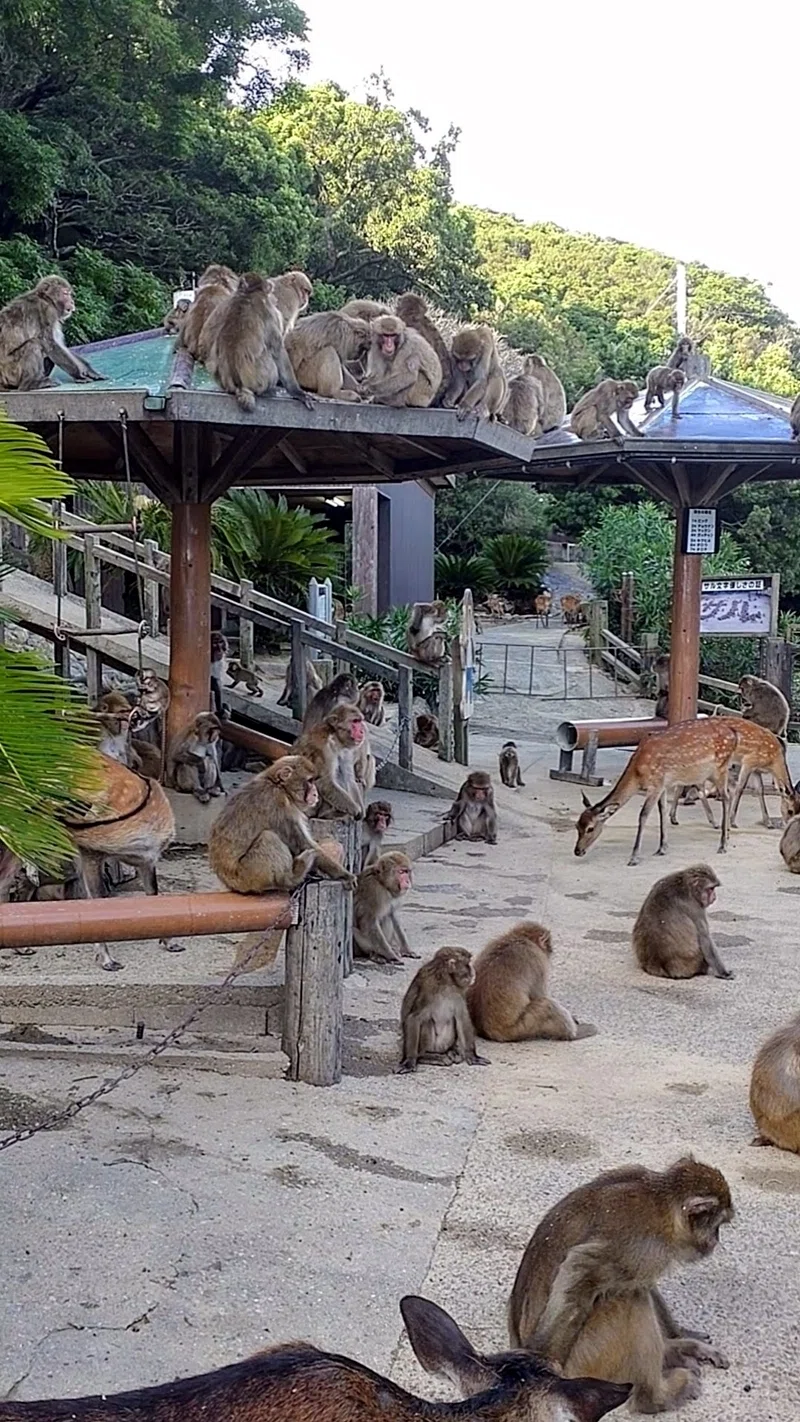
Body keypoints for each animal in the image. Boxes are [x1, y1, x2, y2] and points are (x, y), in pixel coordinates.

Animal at [204, 272, 313, 413]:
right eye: (304, 291)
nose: (306, 299)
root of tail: (239, 385)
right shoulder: (281, 304)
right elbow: (278, 349)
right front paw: (296, 391)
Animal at [209, 755, 356, 893]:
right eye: (310, 781)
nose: (315, 794)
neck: (279, 787)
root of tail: (229, 883)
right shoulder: (280, 806)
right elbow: (303, 845)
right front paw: (345, 875)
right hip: (248, 875)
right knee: (268, 837)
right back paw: (291, 878)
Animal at [467, 922, 596, 1042]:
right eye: (548, 943)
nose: (551, 949)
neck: (520, 938)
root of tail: (487, 1032)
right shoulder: (538, 961)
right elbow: (539, 995)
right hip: (521, 1028)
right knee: (547, 1006)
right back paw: (572, 1034)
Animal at [508, 1157, 733, 1414]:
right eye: (716, 1225)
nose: (716, 1240)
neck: (664, 1208)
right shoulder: (639, 1245)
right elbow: (579, 1270)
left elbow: (642, 1282)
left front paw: (678, 1336)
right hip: (586, 1359)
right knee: (627, 1298)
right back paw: (654, 1397)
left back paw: (671, 1351)